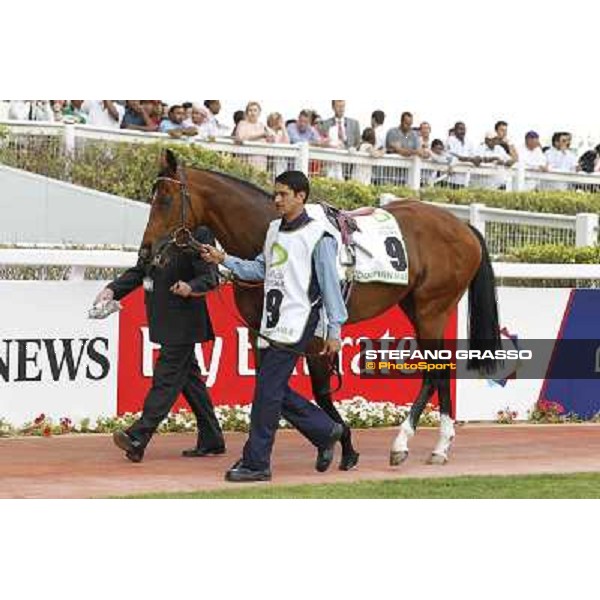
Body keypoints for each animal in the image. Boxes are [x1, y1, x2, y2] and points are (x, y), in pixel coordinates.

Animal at [141, 150, 502, 468]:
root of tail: (464, 227)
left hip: (433, 308)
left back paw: (409, 443)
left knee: (434, 370)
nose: (146, 252)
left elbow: (320, 392)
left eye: (165, 200)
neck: (272, 231)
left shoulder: (314, 333)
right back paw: (438, 445)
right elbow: (273, 388)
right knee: (440, 369)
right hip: (415, 306)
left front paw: (342, 445)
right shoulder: (265, 331)